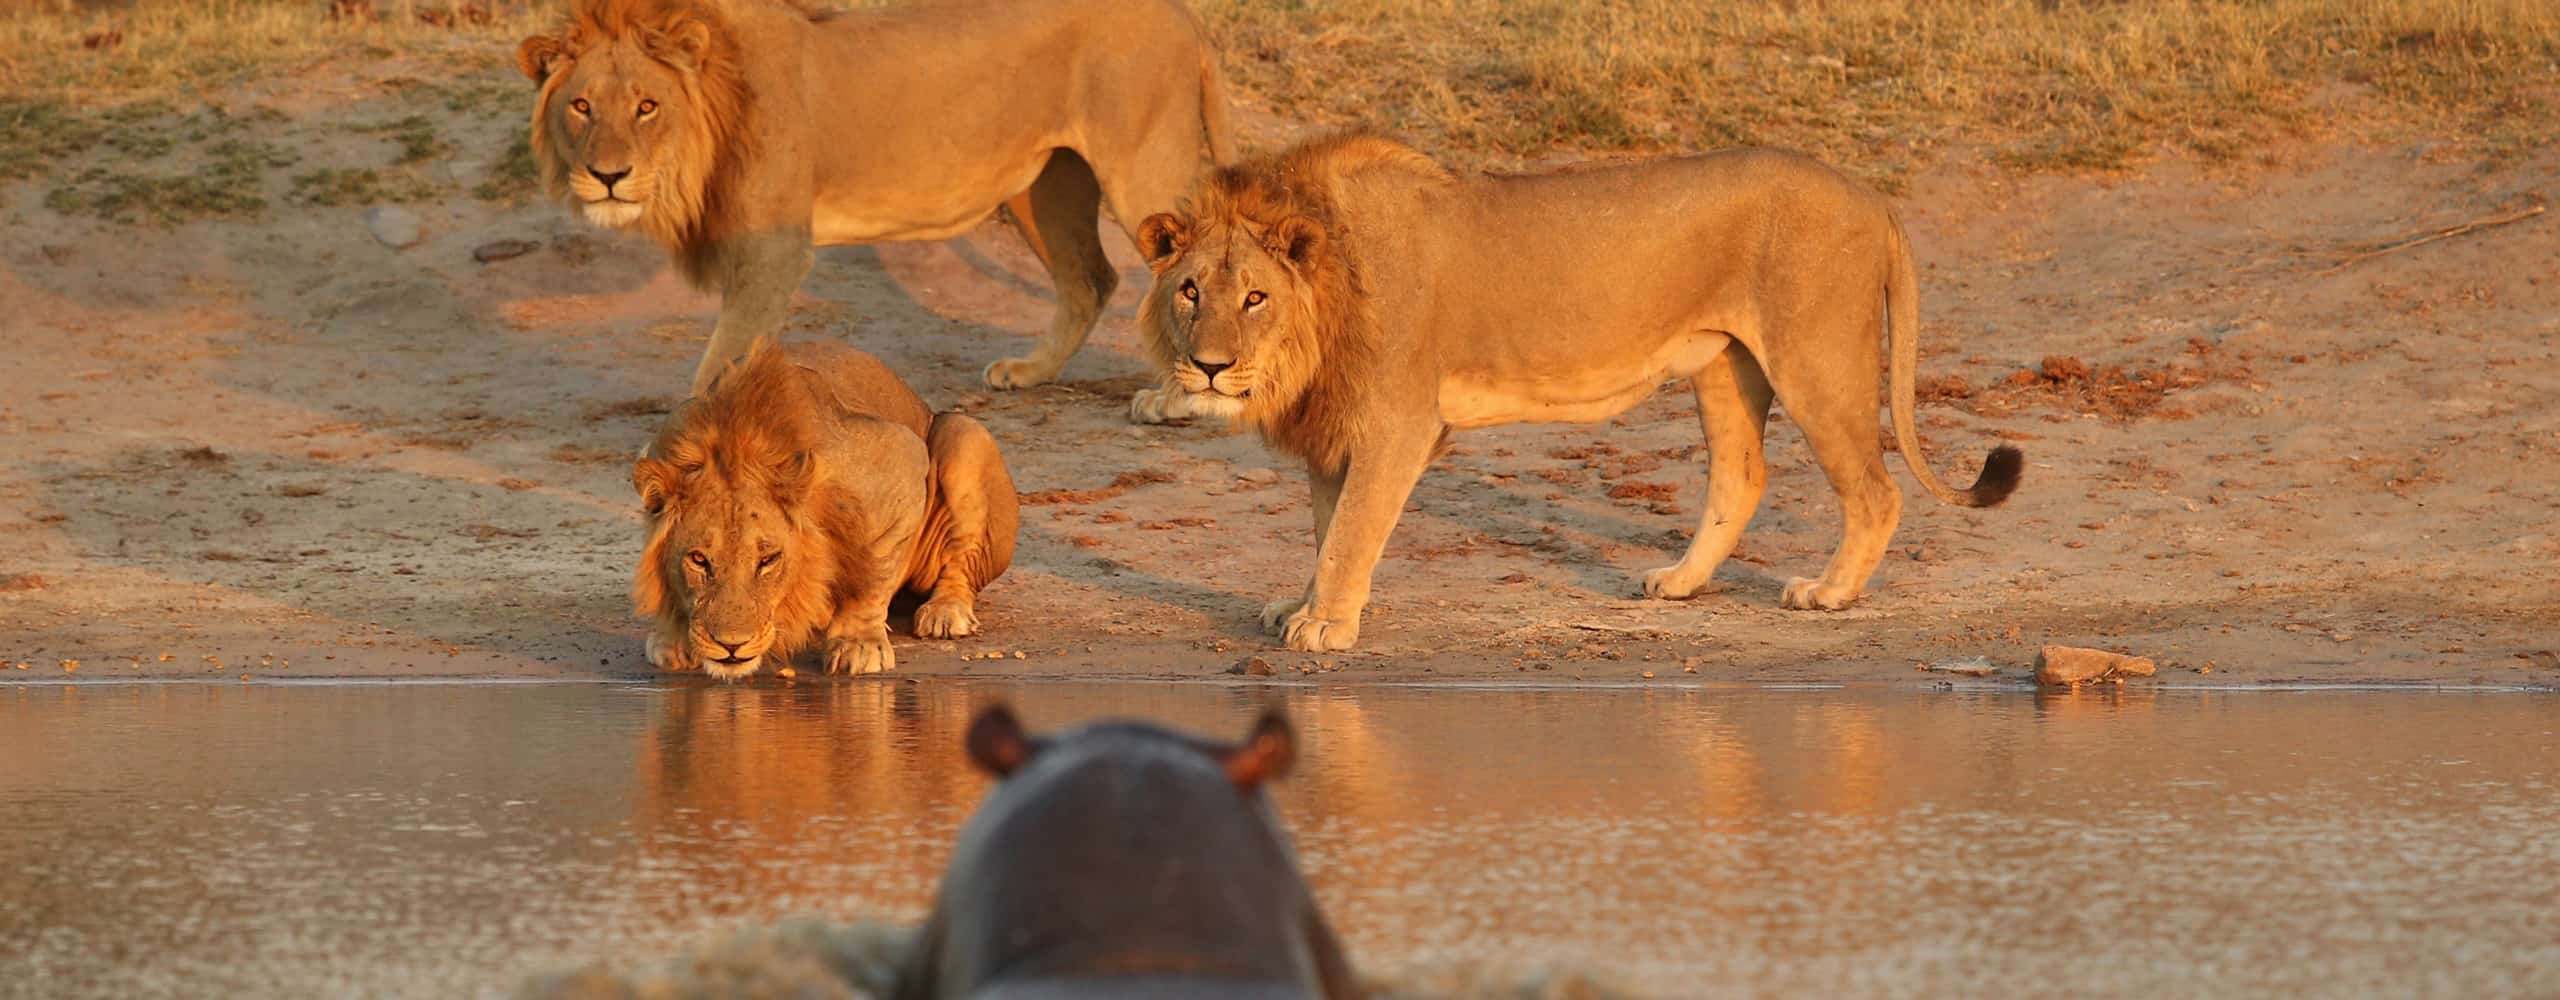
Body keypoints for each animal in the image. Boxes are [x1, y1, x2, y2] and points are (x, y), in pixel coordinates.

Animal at [514, 0, 1233, 406]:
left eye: (647, 106)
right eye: (581, 106)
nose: (608, 176)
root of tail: (1185, 15)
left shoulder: (775, 248)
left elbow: (720, 361)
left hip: (1138, 168)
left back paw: (1177, 398)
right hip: (1043, 185)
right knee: (1091, 278)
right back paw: (1030, 371)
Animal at [1136, 134, 2017, 659]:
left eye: (1255, 297)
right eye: (1190, 291)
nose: (1208, 368)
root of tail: (1874, 198)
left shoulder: (1397, 422)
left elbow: (1352, 531)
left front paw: (1325, 623)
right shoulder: (1337, 428)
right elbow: (1327, 530)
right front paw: (1302, 603)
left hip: (1815, 357)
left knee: (1874, 488)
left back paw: (1829, 593)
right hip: (1724, 364)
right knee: (1743, 475)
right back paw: (1680, 582)